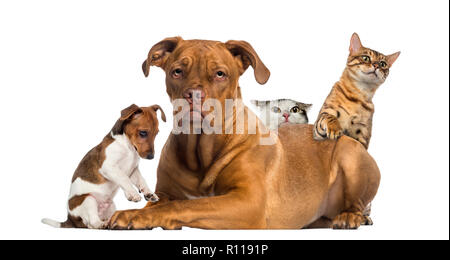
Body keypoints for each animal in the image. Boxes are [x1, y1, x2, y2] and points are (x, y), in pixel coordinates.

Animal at [108, 37, 380, 230]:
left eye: (220, 74)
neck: (199, 148)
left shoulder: (246, 201)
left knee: (357, 204)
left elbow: (185, 206)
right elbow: (164, 203)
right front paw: (141, 213)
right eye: (177, 71)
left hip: (350, 154)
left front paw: (137, 216)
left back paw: (350, 217)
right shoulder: (165, 194)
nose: (193, 95)